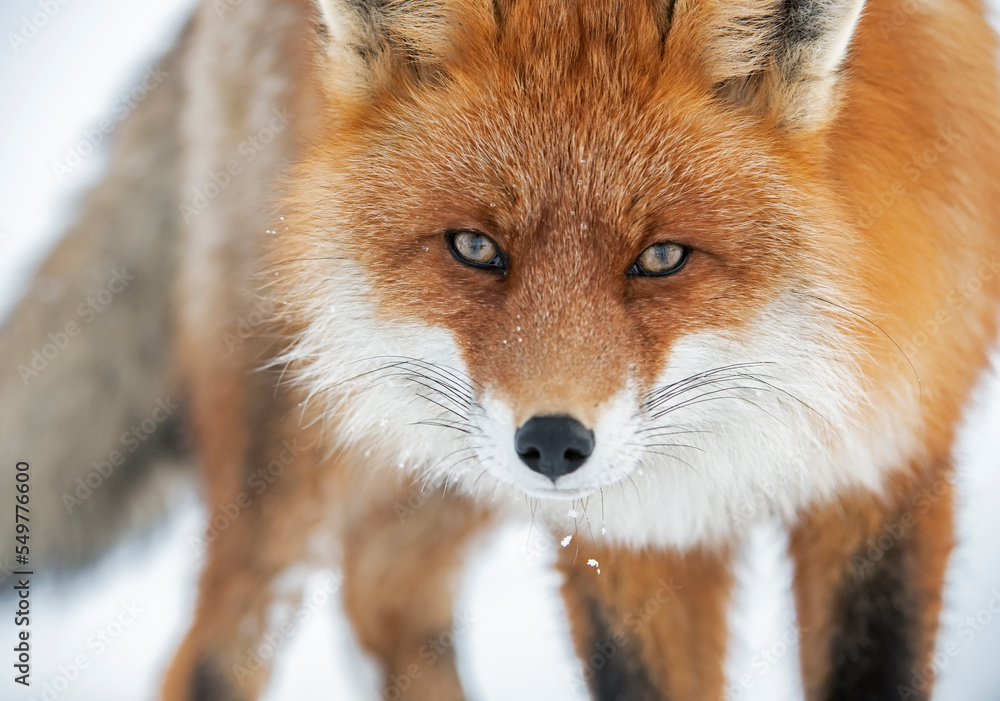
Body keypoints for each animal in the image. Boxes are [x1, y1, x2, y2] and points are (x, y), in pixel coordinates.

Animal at [2, 0, 1000, 699]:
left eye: (661, 258)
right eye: (477, 247)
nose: (553, 441)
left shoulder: (887, 467)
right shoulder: (622, 528)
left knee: (382, 590)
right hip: (314, 424)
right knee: (218, 649)